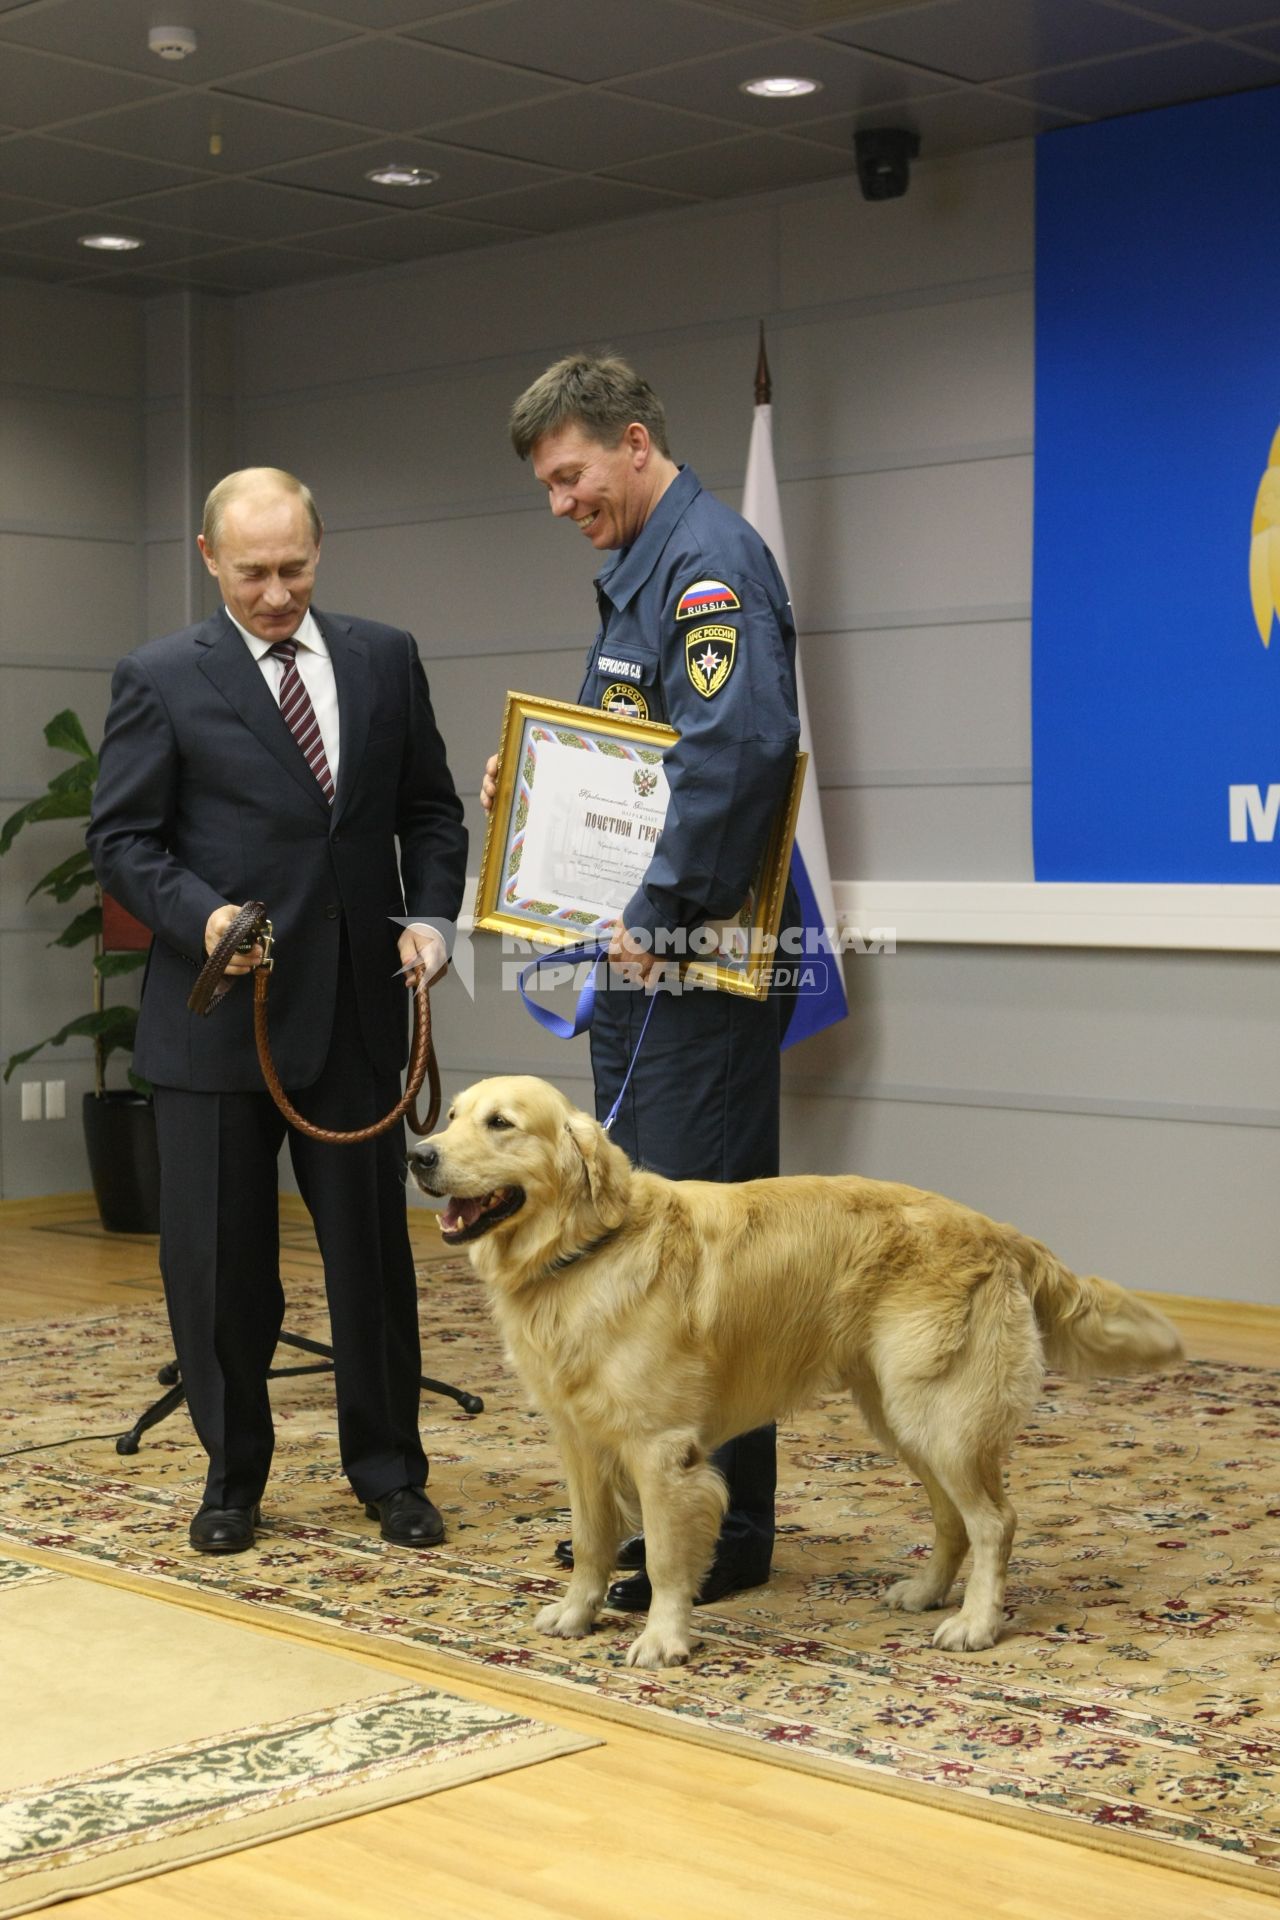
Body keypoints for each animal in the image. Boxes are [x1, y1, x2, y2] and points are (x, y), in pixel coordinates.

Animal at [410, 1075, 1182, 1674]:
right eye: (450, 1116)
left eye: (501, 1124)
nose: (417, 1155)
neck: (587, 1250)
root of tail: (998, 1231)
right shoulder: (579, 1439)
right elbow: (594, 1542)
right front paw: (576, 1614)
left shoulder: (662, 1451)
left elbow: (662, 1559)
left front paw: (663, 1638)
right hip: (902, 1416)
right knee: (952, 1518)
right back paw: (927, 1592)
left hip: (940, 1417)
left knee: (995, 1521)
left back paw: (976, 1623)